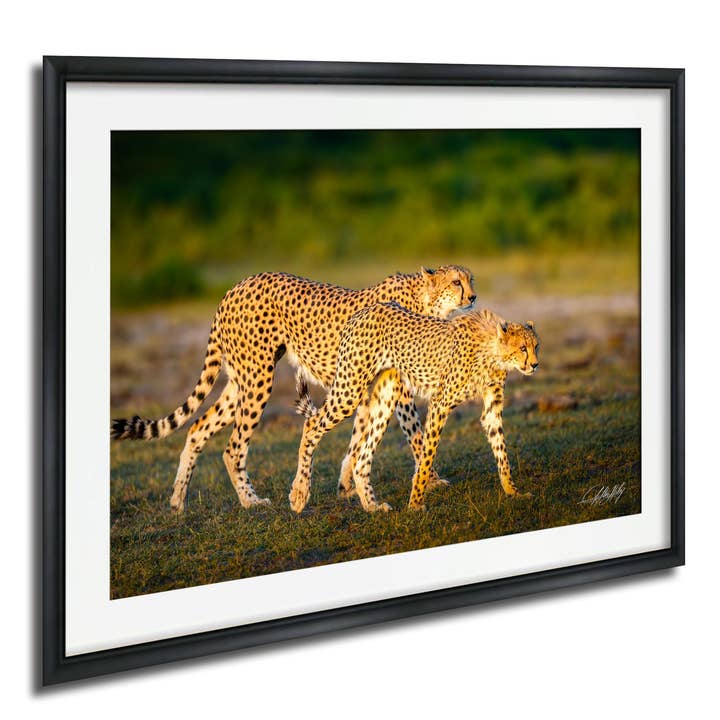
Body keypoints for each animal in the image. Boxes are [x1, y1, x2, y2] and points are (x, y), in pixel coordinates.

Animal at [110, 267, 476, 511]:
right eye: (456, 281)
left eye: (470, 279)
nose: (473, 297)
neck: (424, 300)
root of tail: (235, 287)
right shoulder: (395, 389)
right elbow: (414, 432)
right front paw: (432, 479)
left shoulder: (367, 387)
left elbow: (357, 437)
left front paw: (346, 484)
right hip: (258, 378)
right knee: (233, 446)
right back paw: (251, 501)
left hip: (241, 381)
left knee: (198, 427)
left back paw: (177, 501)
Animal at [290, 303, 538, 513]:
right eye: (522, 348)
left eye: (536, 346)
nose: (535, 365)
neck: (492, 351)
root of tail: (363, 311)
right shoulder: (440, 403)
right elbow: (427, 456)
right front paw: (416, 503)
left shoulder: (491, 409)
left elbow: (501, 451)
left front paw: (512, 491)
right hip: (349, 391)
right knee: (312, 425)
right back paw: (299, 493)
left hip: (386, 397)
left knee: (361, 456)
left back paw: (372, 506)